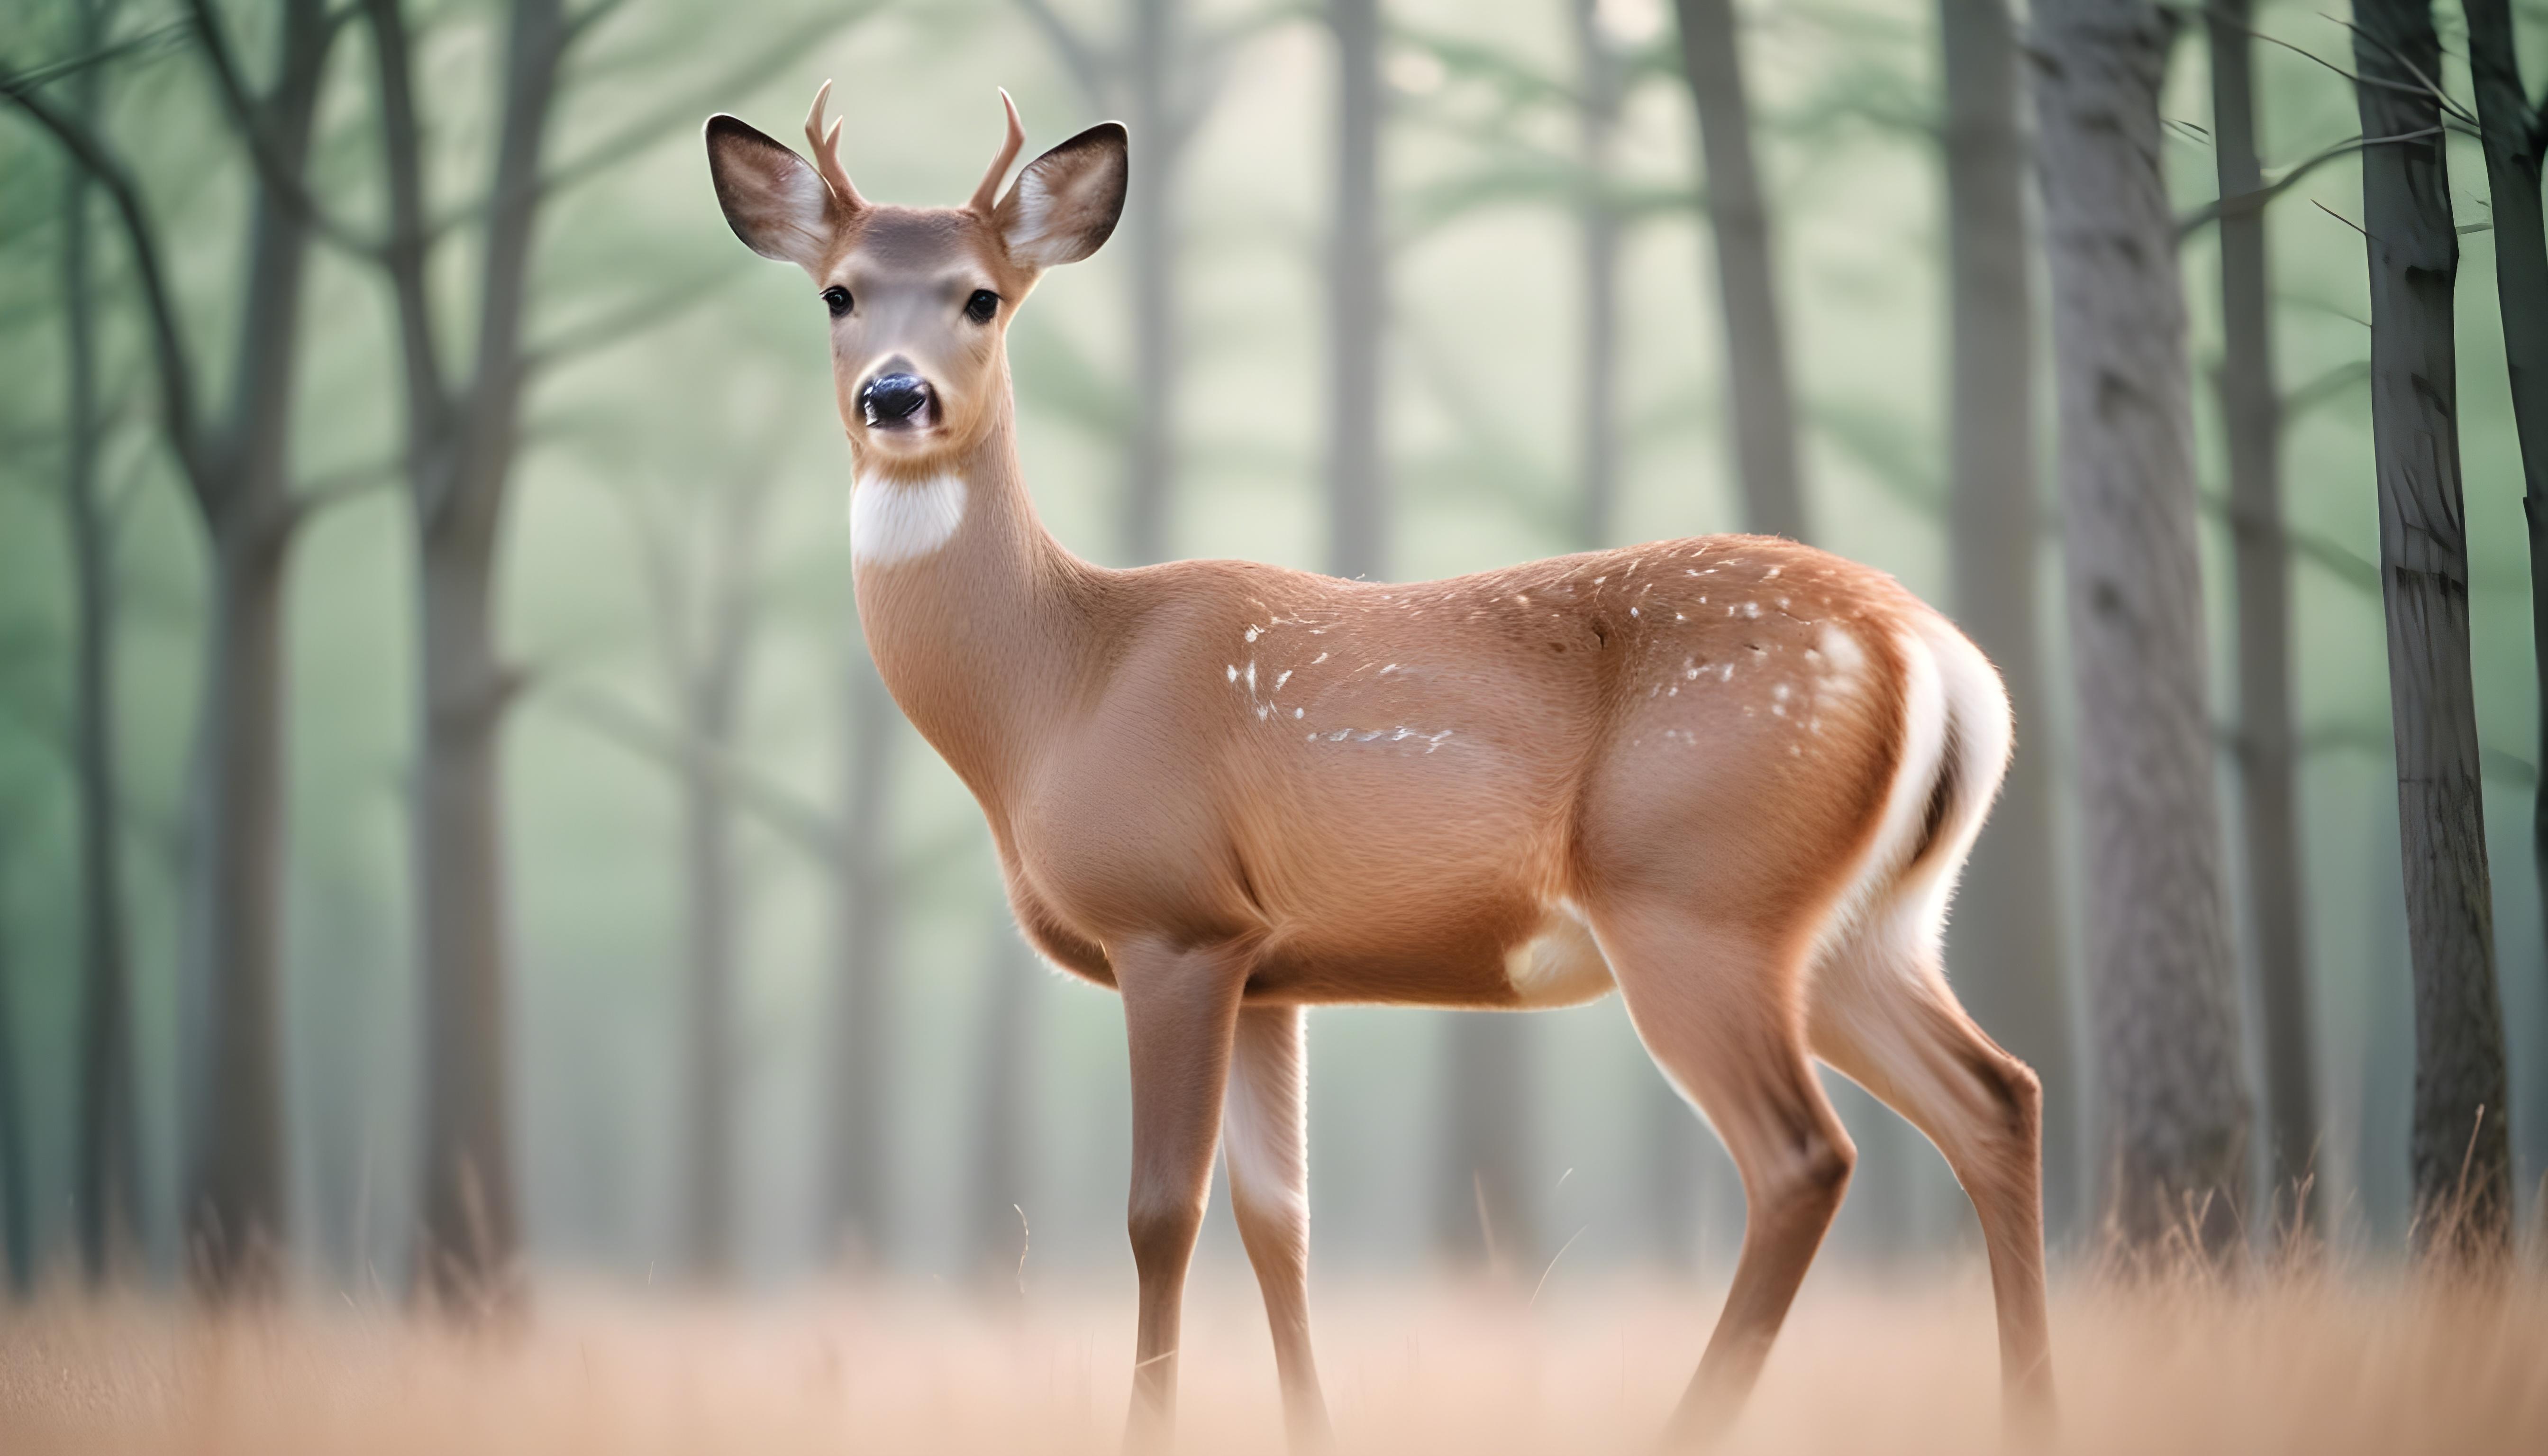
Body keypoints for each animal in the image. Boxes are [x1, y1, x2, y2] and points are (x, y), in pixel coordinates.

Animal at [703, 84, 2055, 1450]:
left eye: (981, 296)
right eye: (839, 292)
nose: (895, 395)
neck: (1056, 692)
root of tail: (1934, 652)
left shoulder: (1174, 921)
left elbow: (1160, 1215)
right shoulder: (1269, 966)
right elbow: (1278, 1222)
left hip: (1698, 898)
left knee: (1805, 1156)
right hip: (1862, 927)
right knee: (1996, 1095)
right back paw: (2028, 1406)